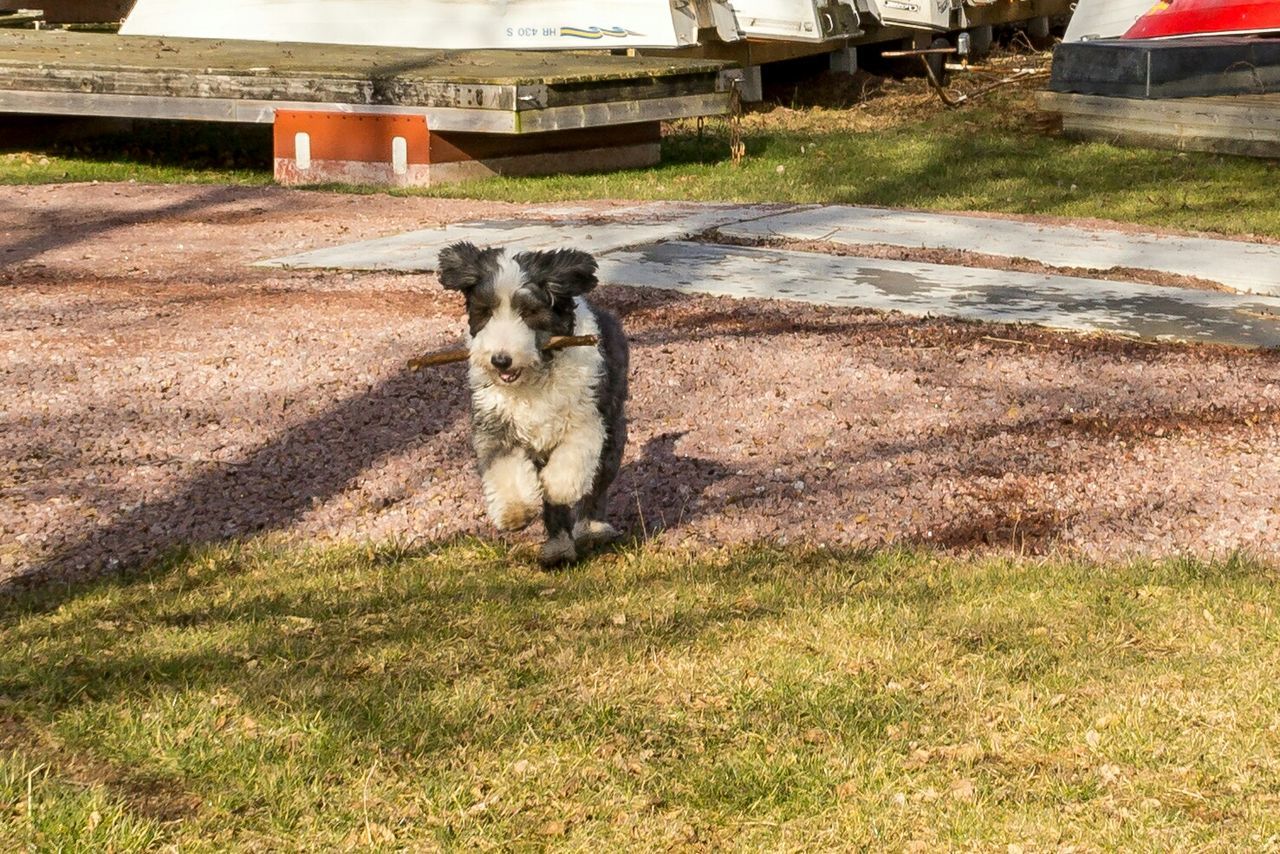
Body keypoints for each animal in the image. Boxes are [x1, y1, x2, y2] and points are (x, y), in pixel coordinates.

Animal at [437, 241, 627, 568]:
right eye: (485, 311)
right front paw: (515, 511)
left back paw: (592, 529)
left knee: (596, 487)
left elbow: (571, 463)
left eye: (528, 312)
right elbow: (504, 467)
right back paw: (558, 549)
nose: (500, 360)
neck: (533, 381)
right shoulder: (494, 425)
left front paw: (559, 485)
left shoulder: (587, 419)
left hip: (613, 435)